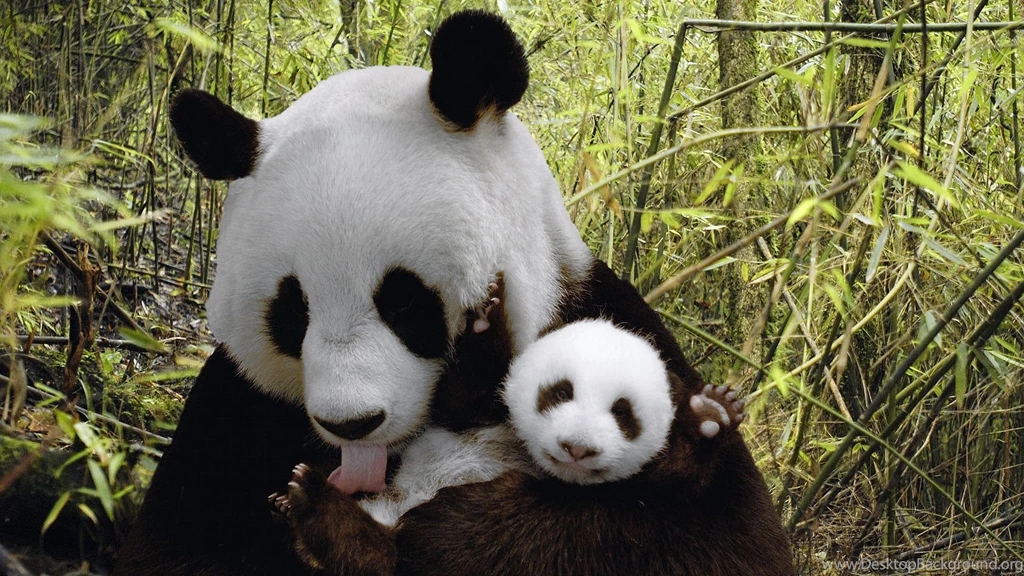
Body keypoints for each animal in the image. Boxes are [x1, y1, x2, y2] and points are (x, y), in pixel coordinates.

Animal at [115, 10, 792, 576]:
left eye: (403, 301)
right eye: (293, 311)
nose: (352, 424)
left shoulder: (606, 320)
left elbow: (715, 538)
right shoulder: (236, 408)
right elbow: (178, 545)